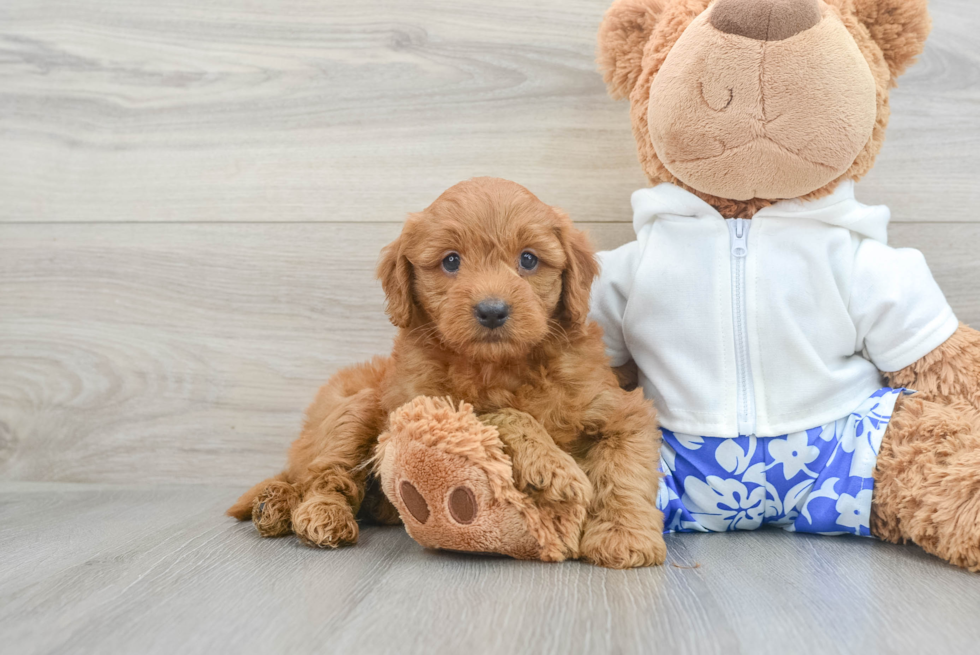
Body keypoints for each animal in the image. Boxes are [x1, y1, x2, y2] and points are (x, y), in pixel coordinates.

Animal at [228, 178, 668, 568]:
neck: (502, 365)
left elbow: (624, 472)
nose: (492, 310)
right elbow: (493, 413)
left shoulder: (619, 410)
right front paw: (553, 467)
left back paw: (284, 504)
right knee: (324, 476)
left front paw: (624, 535)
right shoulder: (418, 404)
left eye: (528, 259)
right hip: (354, 409)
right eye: (451, 261)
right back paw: (313, 513)